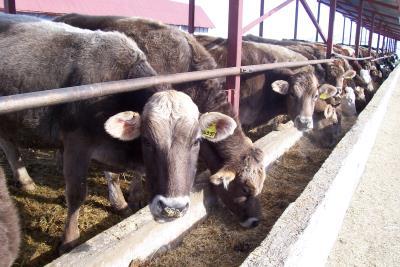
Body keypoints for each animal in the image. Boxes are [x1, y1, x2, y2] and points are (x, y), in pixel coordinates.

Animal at [0, 14, 238, 253]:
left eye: (196, 141)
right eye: (147, 141)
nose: (173, 208)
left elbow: (114, 175)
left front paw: (121, 203)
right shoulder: (76, 143)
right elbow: (77, 194)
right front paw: (69, 241)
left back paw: (25, 180)